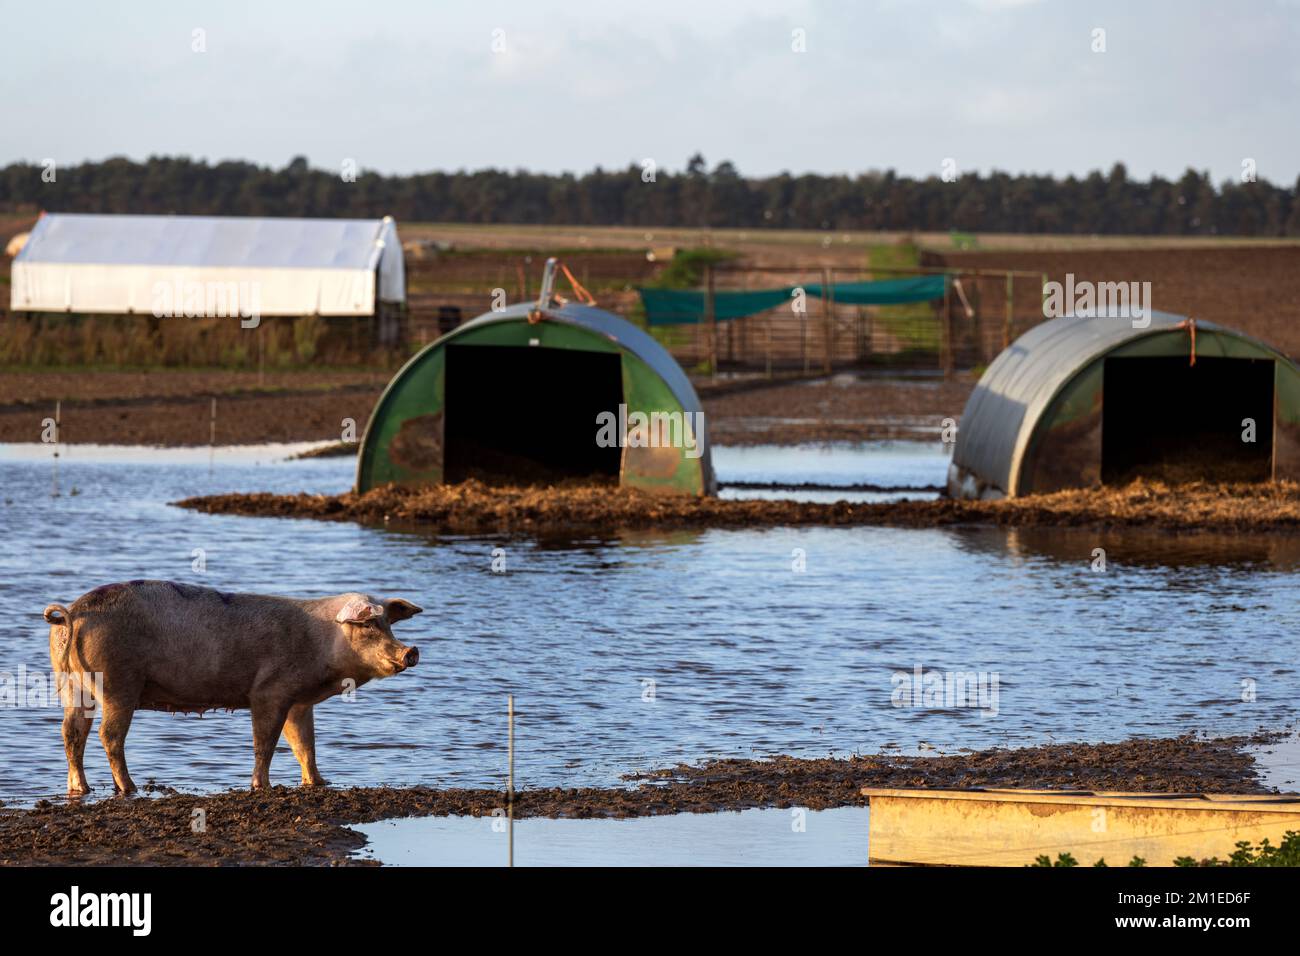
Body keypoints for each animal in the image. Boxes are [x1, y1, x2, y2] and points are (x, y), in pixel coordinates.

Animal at [44, 580, 421, 796]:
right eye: (368, 624)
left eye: (388, 622)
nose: (410, 650)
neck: (322, 642)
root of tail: (73, 612)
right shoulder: (269, 691)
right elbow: (265, 743)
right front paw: (262, 786)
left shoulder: (299, 702)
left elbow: (304, 744)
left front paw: (318, 783)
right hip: (118, 683)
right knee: (108, 735)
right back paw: (128, 788)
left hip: (71, 685)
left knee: (71, 732)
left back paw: (81, 788)